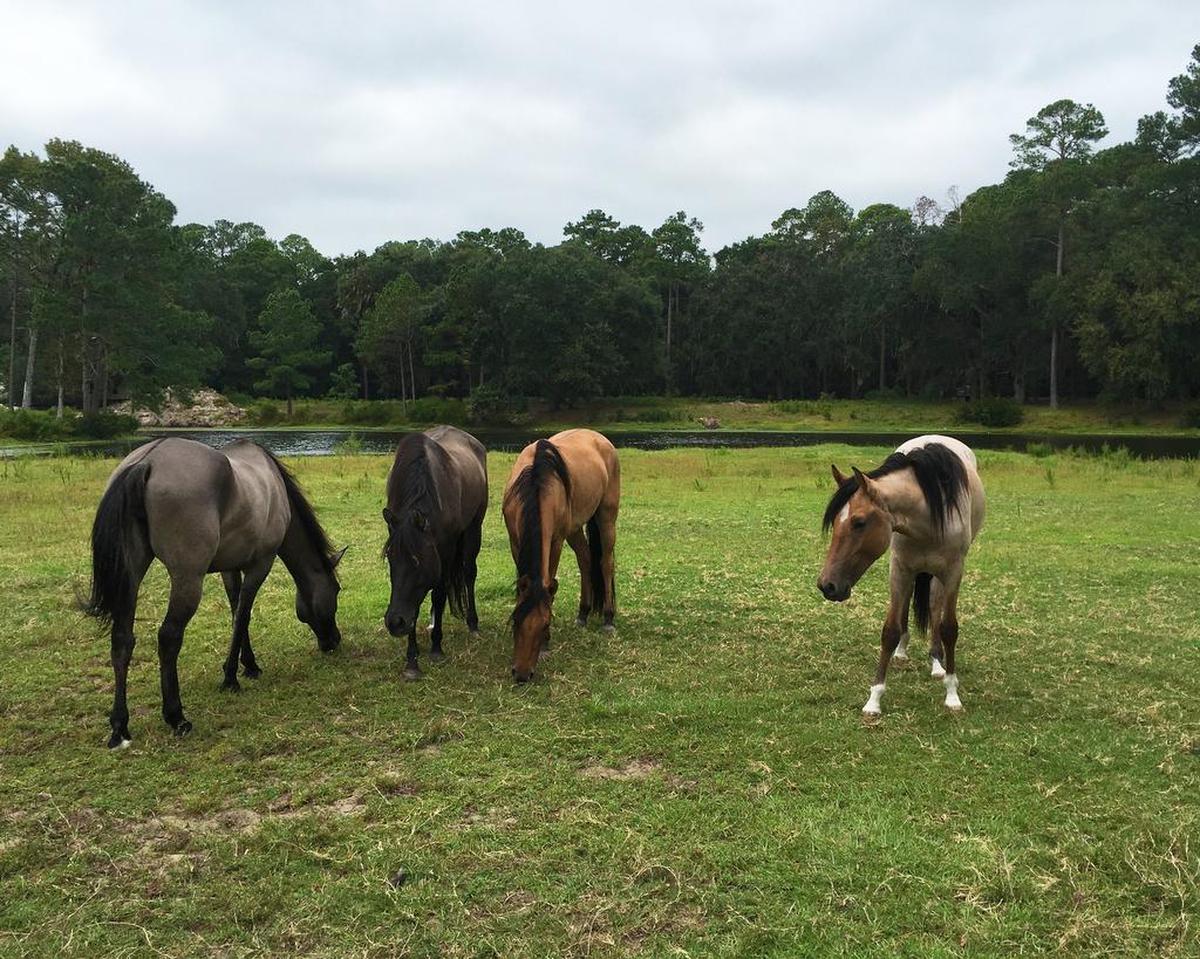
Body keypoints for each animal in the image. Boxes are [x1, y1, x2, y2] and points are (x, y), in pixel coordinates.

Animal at [85, 437, 346, 748]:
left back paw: (119, 727)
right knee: (169, 637)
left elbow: (235, 614)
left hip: (131, 574)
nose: (334, 640)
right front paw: (231, 677)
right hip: (188, 579)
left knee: (123, 639)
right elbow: (243, 615)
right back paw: (176, 716)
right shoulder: (261, 564)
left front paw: (249, 665)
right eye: (336, 591)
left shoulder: (230, 568)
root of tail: (147, 461)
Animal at [382, 425, 488, 680]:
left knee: (469, 573)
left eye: (418, 561)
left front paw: (436, 648)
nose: (395, 622)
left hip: (473, 528)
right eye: (390, 558)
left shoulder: (445, 550)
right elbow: (414, 604)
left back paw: (472, 623)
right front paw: (411, 660)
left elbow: (439, 595)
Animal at [502, 429, 620, 683]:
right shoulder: (514, 542)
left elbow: (549, 582)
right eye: (516, 620)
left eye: (545, 624)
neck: (536, 483)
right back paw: (583, 613)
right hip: (574, 528)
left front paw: (546, 647)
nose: (522, 674)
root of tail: (600, 439)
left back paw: (608, 618)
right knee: (586, 560)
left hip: (607, 516)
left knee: (606, 563)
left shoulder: (555, 541)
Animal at [816, 434, 985, 717]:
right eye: (836, 522)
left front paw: (952, 694)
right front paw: (874, 699)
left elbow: (949, 628)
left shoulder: (953, 572)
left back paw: (937, 662)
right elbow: (890, 630)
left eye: (859, 522)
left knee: (935, 607)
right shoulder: (899, 570)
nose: (827, 585)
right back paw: (902, 651)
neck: (928, 516)